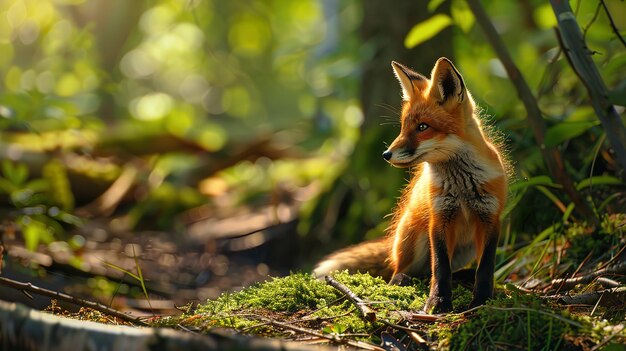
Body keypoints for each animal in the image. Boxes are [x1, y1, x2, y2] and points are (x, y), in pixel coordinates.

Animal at [312, 57, 508, 314]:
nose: (386, 154)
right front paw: (438, 302)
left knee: (438, 272)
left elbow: (485, 268)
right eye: (403, 126)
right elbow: (440, 267)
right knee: (406, 271)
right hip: (412, 233)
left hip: (466, 247)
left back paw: (463, 276)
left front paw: (483, 300)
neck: (462, 187)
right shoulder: (439, 218)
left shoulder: (490, 218)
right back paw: (404, 279)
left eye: (423, 127)